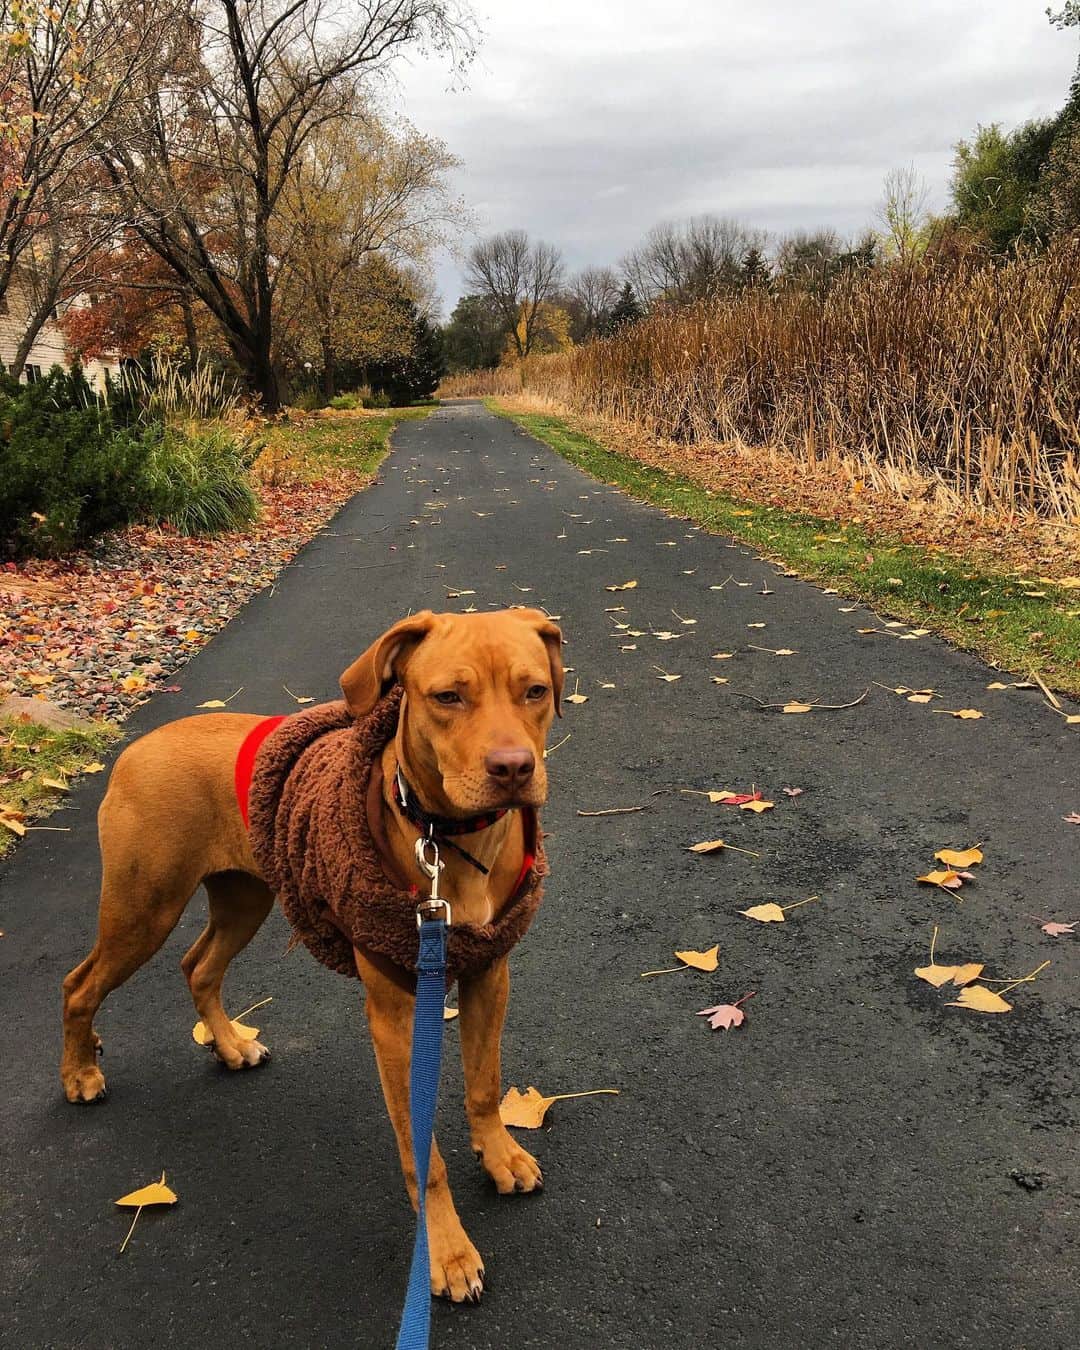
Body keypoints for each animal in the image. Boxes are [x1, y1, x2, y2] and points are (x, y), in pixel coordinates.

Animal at [60, 610, 564, 1296]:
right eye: (447, 697)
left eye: (534, 691)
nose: (513, 768)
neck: (447, 838)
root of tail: (134, 748)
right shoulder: (394, 1016)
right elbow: (423, 1155)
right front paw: (447, 1251)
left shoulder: (490, 970)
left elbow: (484, 1086)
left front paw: (500, 1155)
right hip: (143, 909)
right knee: (80, 985)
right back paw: (80, 1073)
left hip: (245, 896)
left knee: (199, 966)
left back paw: (230, 1045)